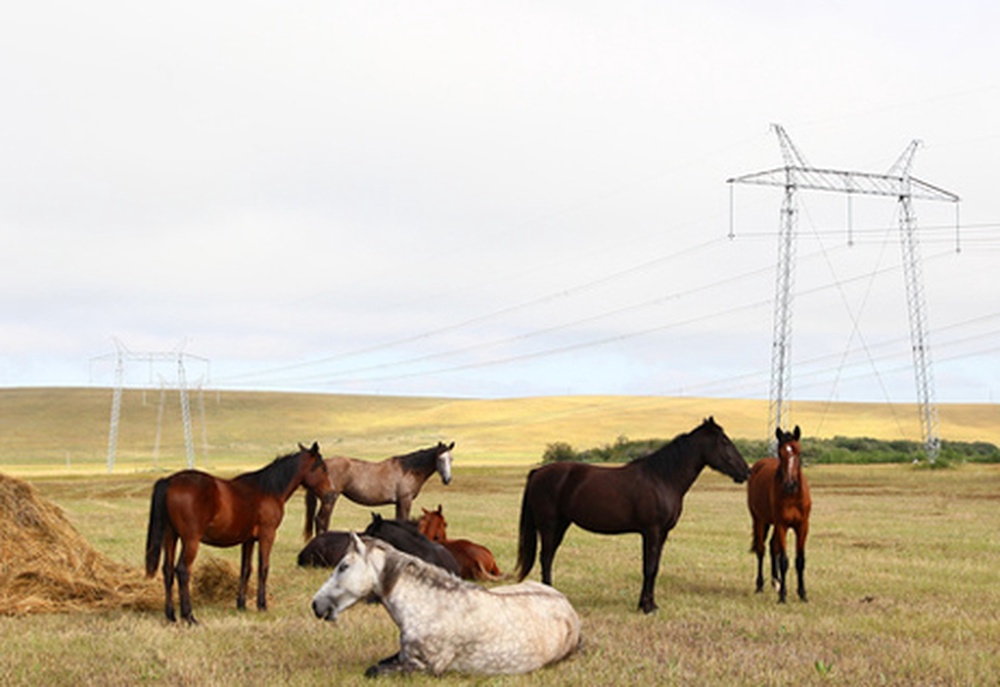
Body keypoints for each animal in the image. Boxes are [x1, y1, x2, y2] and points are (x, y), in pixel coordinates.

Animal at [145, 444, 334, 628]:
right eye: (323, 468)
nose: (330, 494)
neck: (268, 490)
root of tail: (169, 481)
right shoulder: (267, 535)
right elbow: (263, 568)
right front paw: (262, 605)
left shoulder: (248, 540)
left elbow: (246, 570)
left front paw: (241, 605)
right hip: (190, 540)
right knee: (182, 571)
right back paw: (189, 617)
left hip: (171, 537)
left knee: (168, 571)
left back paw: (171, 616)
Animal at [302, 440, 456, 532]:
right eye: (440, 459)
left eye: (451, 459)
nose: (447, 479)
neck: (408, 470)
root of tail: (321, 464)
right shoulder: (405, 501)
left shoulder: (399, 503)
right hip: (329, 500)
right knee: (321, 520)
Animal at [310, 532, 580, 676]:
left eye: (343, 566)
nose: (316, 604)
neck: (431, 606)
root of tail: (567, 606)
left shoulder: (424, 668)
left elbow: (374, 670)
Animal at [520, 416, 748, 616]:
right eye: (724, 441)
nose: (746, 471)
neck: (662, 479)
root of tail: (538, 472)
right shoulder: (652, 531)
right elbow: (649, 568)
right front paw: (647, 608)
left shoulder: (662, 533)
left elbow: (654, 567)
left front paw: (648, 604)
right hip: (549, 525)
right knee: (546, 557)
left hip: (561, 525)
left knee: (548, 556)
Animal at [752, 428, 812, 604]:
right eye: (780, 453)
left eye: (798, 451)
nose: (790, 484)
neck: (792, 496)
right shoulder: (782, 525)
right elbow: (784, 560)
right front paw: (783, 596)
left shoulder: (802, 526)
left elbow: (800, 560)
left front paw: (802, 593)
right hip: (759, 520)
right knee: (761, 549)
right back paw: (760, 585)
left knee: (773, 546)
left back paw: (776, 581)